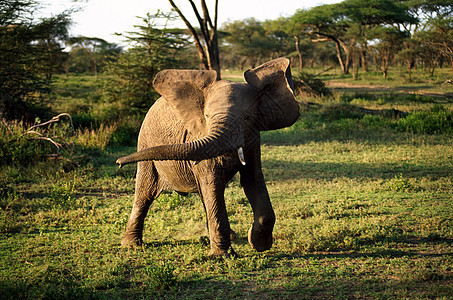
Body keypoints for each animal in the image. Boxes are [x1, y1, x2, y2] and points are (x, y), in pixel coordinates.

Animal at [116, 57, 300, 256]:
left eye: (247, 118)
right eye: (207, 116)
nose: (118, 163)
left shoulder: (253, 137)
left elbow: (253, 179)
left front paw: (258, 244)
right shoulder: (199, 134)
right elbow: (212, 182)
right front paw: (223, 257)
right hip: (145, 142)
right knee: (144, 193)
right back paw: (131, 245)